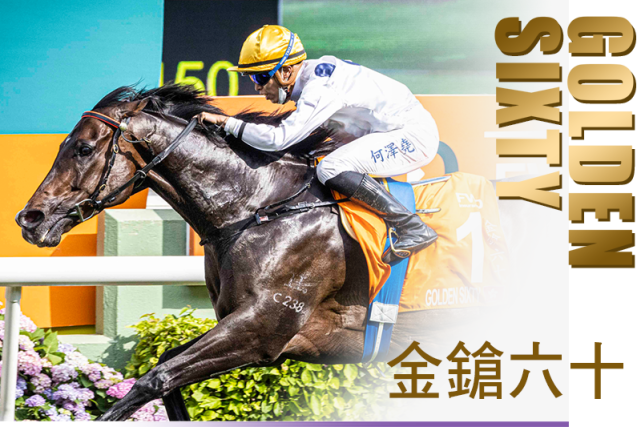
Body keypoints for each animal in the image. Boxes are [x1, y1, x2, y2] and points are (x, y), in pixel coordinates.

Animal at [16, 84, 521, 421]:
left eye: (83, 147)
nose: (30, 218)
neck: (257, 208)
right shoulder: (247, 327)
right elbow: (164, 369)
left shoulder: (262, 329)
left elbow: (151, 380)